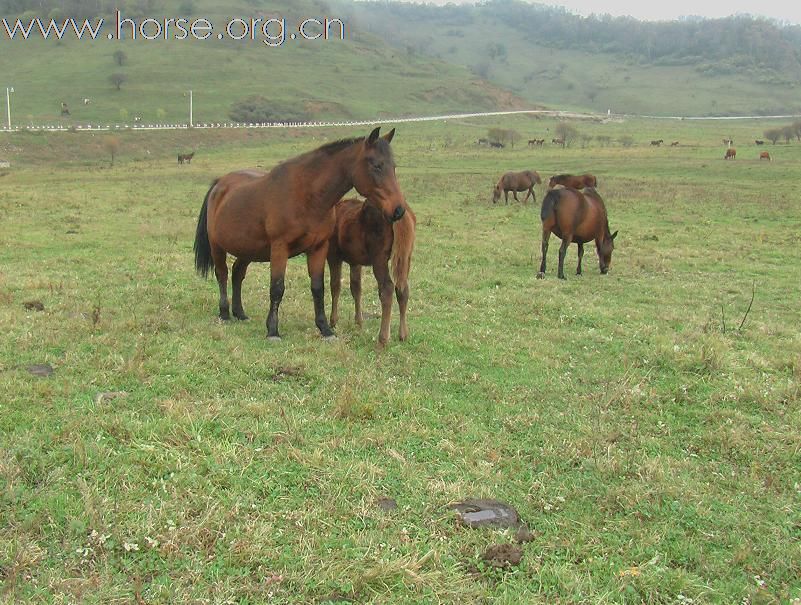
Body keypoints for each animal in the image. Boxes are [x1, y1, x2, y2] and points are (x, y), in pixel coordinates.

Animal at [194, 126, 406, 340]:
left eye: (394, 167)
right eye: (377, 166)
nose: (399, 210)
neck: (307, 196)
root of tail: (220, 184)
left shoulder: (318, 248)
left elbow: (318, 288)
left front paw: (325, 329)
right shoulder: (280, 248)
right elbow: (277, 288)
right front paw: (273, 331)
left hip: (248, 249)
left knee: (238, 273)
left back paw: (240, 313)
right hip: (217, 246)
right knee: (222, 274)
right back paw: (224, 313)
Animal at [324, 198, 416, 344]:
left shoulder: (333, 255)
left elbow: (335, 286)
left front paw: (333, 321)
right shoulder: (355, 261)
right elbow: (356, 288)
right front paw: (359, 322)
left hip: (379, 258)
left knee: (387, 288)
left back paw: (383, 338)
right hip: (405, 257)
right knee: (403, 289)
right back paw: (403, 334)